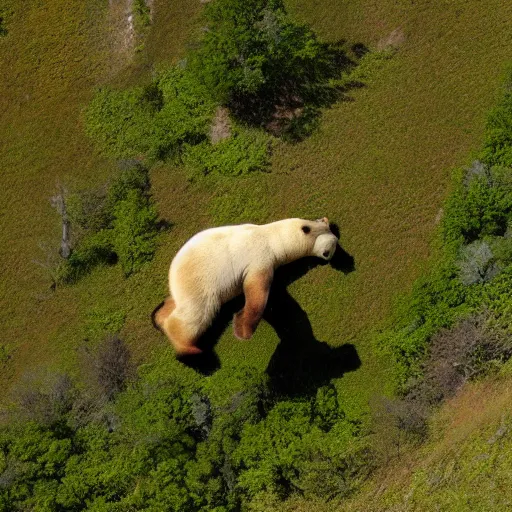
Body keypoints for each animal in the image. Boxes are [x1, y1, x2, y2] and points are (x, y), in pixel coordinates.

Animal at [154, 216, 338, 356]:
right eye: (329, 250)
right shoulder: (259, 257)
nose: (329, 256)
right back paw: (190, 348)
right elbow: (256, 294)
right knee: (196, 314)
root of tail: (173, 276)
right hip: (199, 283)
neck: (270, 236)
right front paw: (243, 329)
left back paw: (159, 315)